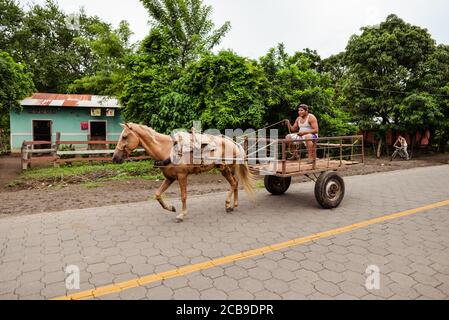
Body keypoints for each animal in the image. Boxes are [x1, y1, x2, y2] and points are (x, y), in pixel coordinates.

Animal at [110, 122, 254, 222]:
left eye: (124, 136)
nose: (115, 158)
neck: (167, 149)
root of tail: (234, 143)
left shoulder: (182, 176)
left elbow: (183, 195)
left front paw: (182, 214)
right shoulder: (169, 178)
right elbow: (157, 194)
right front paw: (171, 208)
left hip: (225, 168)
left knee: (233, 184)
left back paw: (228, 204)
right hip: (226, 169)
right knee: (235, 183)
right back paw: (233, 204)